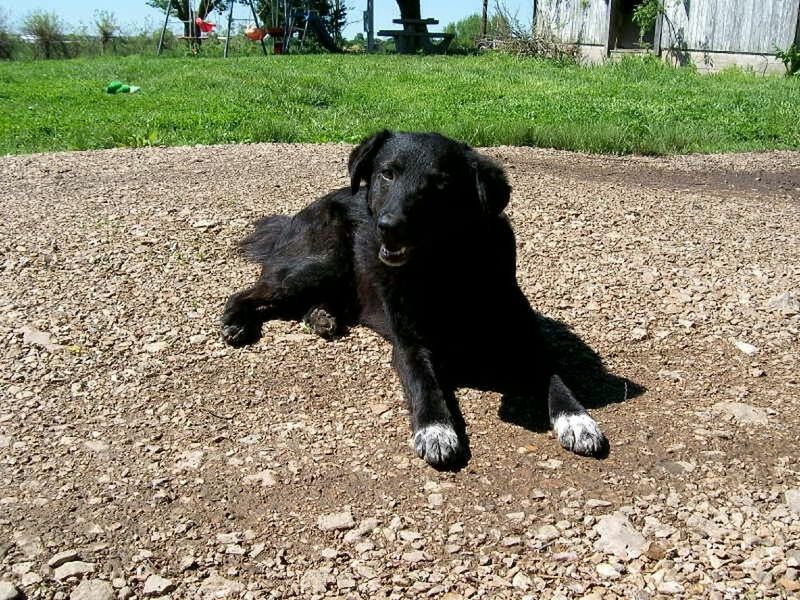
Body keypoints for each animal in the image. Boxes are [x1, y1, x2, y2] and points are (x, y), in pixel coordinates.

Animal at [220, 131, 608, 468]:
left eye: (439, 183)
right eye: (387, 173)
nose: (388, 226)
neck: (442, 271)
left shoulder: (526, 339)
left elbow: (555, 376)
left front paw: (577, 420)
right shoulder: (409, 345)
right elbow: (426, 385)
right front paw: (436, 430)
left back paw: (321, 317)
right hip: (322, 263)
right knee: (248, 291)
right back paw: (235, 322)